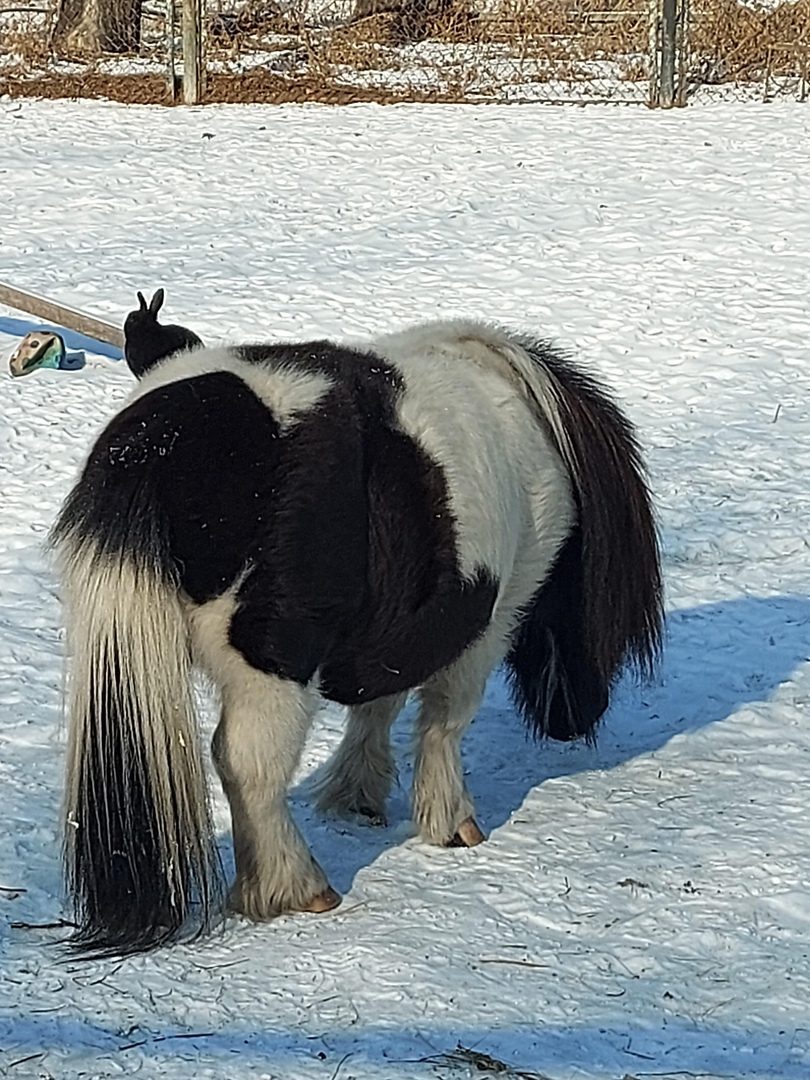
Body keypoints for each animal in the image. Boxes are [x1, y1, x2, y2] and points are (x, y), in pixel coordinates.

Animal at [50, 315, 660, 954]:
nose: (576, 723)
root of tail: (162, 438)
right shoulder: (489, 624)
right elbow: (445, 719)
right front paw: (451, 822)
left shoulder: (399, 628)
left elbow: (380, 701)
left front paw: (357, 795)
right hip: (272, 667)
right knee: (247, 764)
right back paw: (296, 887)